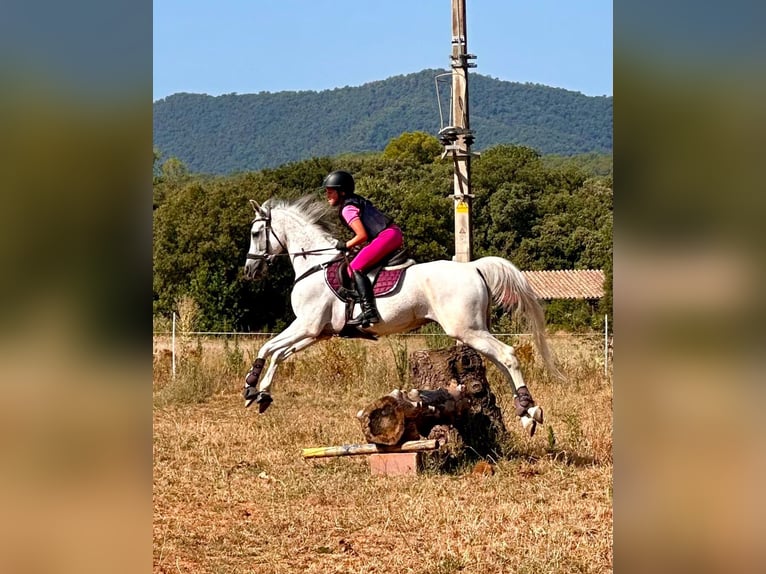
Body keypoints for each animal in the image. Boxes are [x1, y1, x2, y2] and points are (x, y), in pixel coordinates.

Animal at [246, 197, 564, 436]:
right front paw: (263, 396)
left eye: (255, 233)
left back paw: (530, 411)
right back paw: (526, 412)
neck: (314, 263)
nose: (250, 270)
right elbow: (279, 354)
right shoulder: (317, 332)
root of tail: (472, 267)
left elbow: (267, 347)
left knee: (508, 355)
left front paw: (250, 387)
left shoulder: (306, 325)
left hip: (466, 329)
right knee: (500, 361)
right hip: (475, 329)